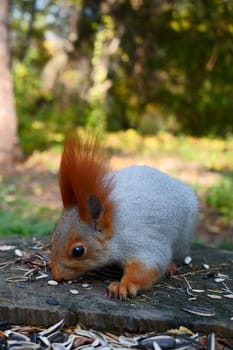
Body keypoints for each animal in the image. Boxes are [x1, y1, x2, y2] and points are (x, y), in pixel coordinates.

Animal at [50, 135, 198, 300]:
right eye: (52, 239)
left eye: (78, 251)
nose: (56, 276)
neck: (116, 227)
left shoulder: (141, 240)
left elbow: (149, 264)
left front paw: (124, 285)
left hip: (183, 236)